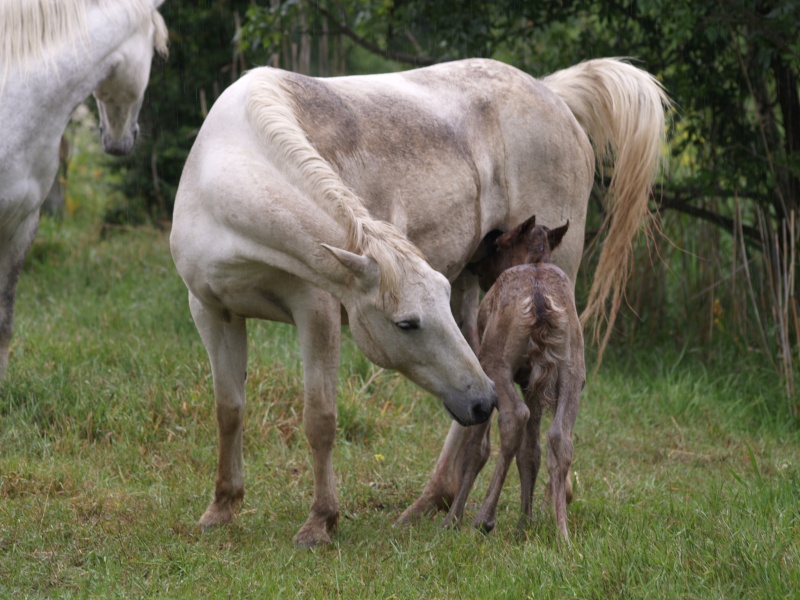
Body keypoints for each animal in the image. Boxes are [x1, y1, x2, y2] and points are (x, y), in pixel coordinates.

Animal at [172, 58, 672, 548]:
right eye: (407, 323)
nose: (482, 400)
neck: (228, 163)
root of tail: (553, 93)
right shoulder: (210, 312)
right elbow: (229, 410)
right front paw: (221, 509)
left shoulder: (316, 312)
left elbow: (320, 419)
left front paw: (319, 523)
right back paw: (435, 500)